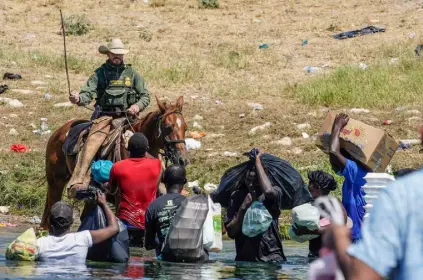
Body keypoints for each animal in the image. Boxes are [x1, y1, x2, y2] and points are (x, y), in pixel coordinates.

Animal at [41, 95, 187, 228]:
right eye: (168, 127)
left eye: (185, 127)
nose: (182, 159)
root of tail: (58, 131)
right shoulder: (119, 198)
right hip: (56, 183)